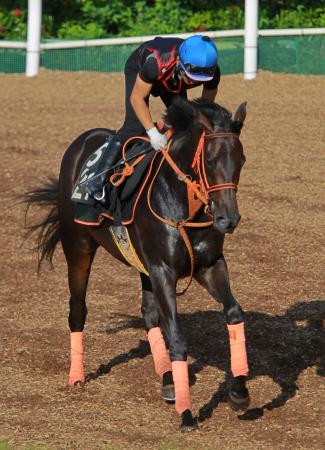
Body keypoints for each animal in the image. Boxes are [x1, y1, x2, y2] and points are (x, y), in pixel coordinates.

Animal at [24, 97, 248, 432]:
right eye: (209, 160)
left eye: (241, 160)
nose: (228, 219)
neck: (183, 205)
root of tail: (83, 140)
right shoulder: (163, 271)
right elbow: (176, 336)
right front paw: (186, 413)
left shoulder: (209, 265)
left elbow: (233, 313)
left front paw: (239, 392)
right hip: (78, 247)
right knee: (77, 310)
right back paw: (77, 376)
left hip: (143, 266)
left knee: (149, 314)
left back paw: (167, 378)